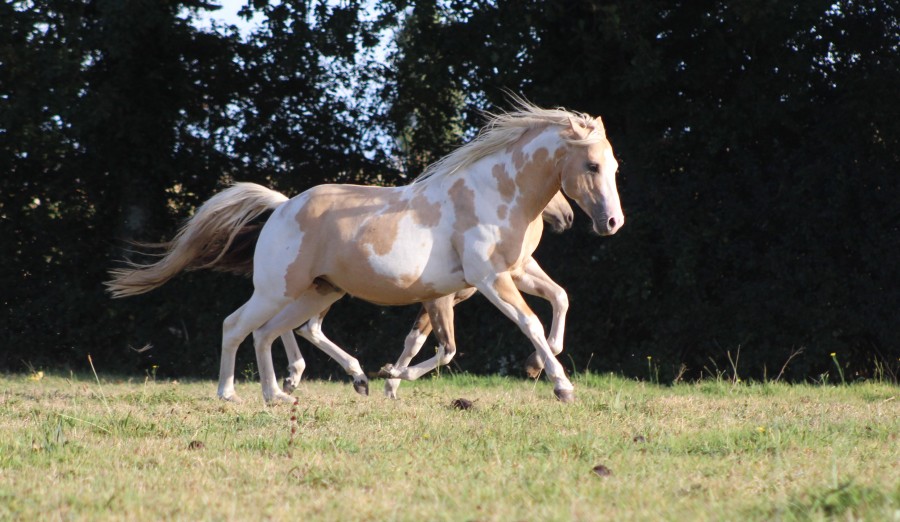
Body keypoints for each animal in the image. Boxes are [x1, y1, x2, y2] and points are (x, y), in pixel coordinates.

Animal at [108, 101, 623, 404]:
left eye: (614, 165)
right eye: (591, 165)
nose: (610, 224)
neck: (492, 193)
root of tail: (283, 207)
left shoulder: (514, 271)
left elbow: (559, 298)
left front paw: (540, 364)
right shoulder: (487, 280)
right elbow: (518, 325)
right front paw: (561, 384)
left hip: (317, 293)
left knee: (272, 333)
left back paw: (286, 394)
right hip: (278, 290)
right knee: (238, 326)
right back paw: (231, 393)